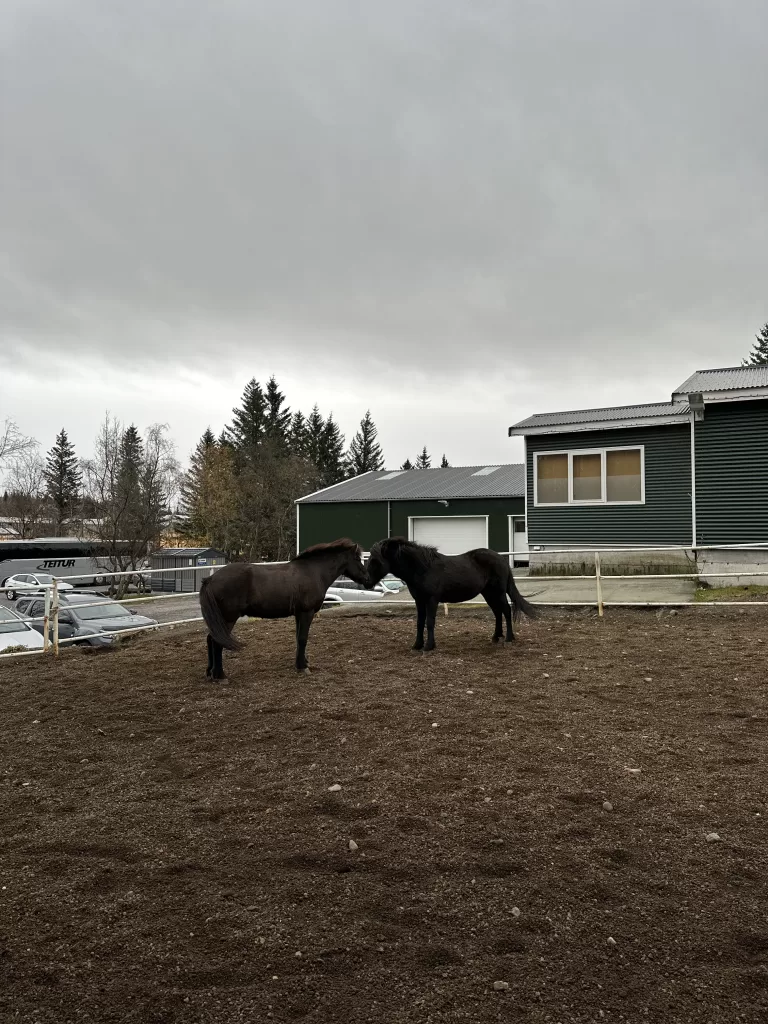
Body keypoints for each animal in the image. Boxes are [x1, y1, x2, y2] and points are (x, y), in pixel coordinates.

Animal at [196, 536, 368, 679]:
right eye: (357, 559)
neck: (313, 572)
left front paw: (301, 662)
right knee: (217, 642)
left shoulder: (299, 613)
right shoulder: (307, 612)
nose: (367, 578)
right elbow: (303, 638)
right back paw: (220, 675)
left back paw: (210, 672)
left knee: (211, 639)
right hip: (228, 618)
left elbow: (298, 638)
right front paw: (303, 667)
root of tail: (211, 578)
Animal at [364, 540, 536, 651]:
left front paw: (429, 646)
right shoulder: (419, 601)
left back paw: (508, 638)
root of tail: (501, 558)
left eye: (375, 560)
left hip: (498, 592)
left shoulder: (432, 600)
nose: (366, 582)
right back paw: (496, 637)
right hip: (488, 594)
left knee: (506, 611)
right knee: (497, 613)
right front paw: (417, 645)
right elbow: (419, 622)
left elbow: (430, 622)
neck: (423, 568)